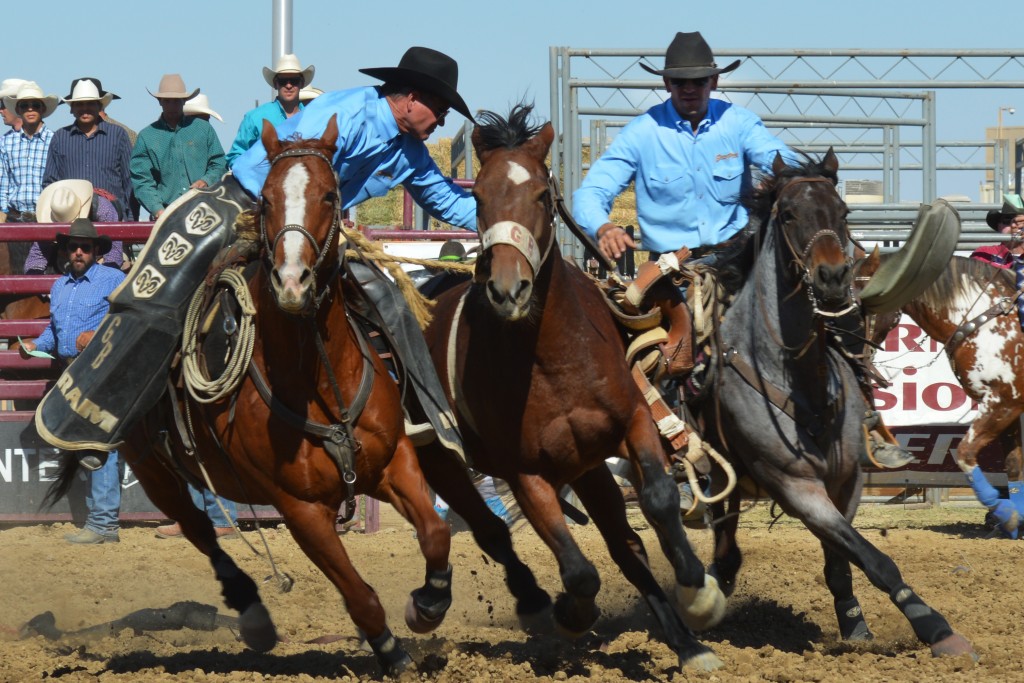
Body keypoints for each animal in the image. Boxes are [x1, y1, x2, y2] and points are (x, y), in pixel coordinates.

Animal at [44, 116, 452, 671]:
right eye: (267, 199)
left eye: (330, 195)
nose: (292, 282)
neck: (319, 382)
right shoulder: (301, 510)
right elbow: (358, 594)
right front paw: (392, 653)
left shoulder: (395, 463)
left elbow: (436, 533)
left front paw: (428, 605)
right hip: (153, 470)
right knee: (201, 533)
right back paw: (254, 619)